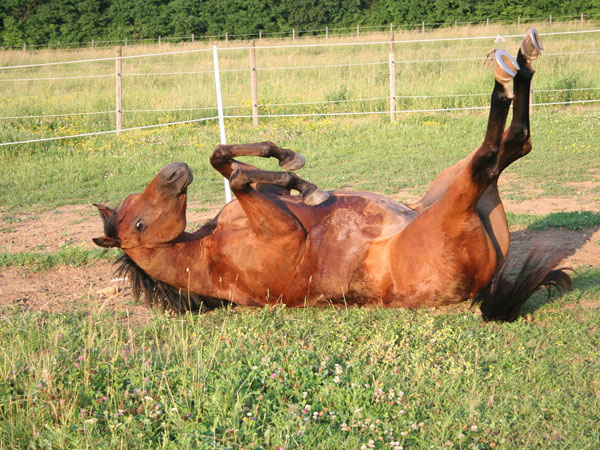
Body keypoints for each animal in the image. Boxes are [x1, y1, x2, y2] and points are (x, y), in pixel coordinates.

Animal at [94, 29, 572, 324]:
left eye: (137, 204)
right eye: (139, 224)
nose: (174, 172)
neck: (208, 254)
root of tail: (481, 289)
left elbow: (233, 165)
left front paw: (295, 171)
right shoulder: (282, 232)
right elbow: (234, 176)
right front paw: (303, 184)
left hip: (451, 187)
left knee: (513, 148)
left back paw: (522, 58)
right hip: (457, 203)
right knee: (496, 154)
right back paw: (509, 70)